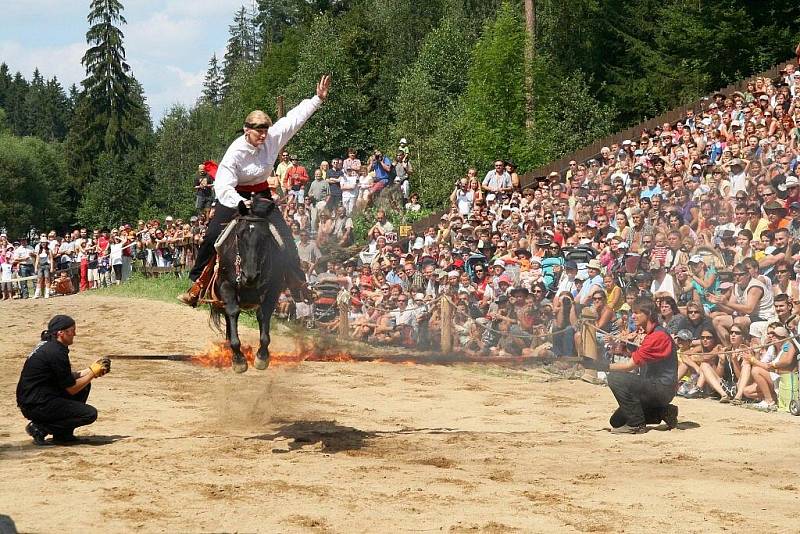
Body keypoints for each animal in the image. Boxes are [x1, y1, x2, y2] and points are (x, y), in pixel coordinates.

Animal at [211, 197, 286, 372]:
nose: (250, 276)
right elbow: (233, 312)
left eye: (265, 237)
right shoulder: (226, 286)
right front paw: (238, 358)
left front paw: (262, 356)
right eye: (239, 234)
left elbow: (264, 315)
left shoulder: (273, 290)